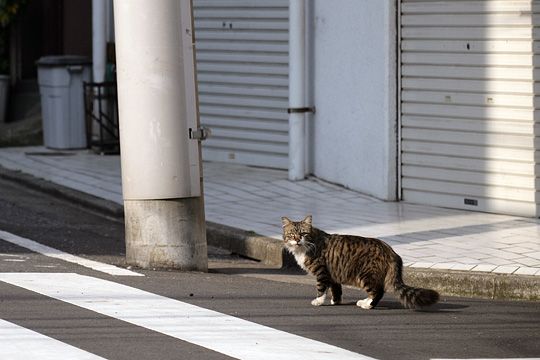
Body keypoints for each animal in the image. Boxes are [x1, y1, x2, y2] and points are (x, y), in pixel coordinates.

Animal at [282, 215, 438, 308]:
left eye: (303, 233)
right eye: (292, 234)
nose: (297, 239)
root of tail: (390, 251)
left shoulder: (322, 271)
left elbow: (321, 289)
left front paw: (318, 301)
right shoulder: (333, 274)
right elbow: (336, 289)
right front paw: (336, 301)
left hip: (365, 275)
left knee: (377, 292)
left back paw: (367, 304)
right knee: (377, 291)